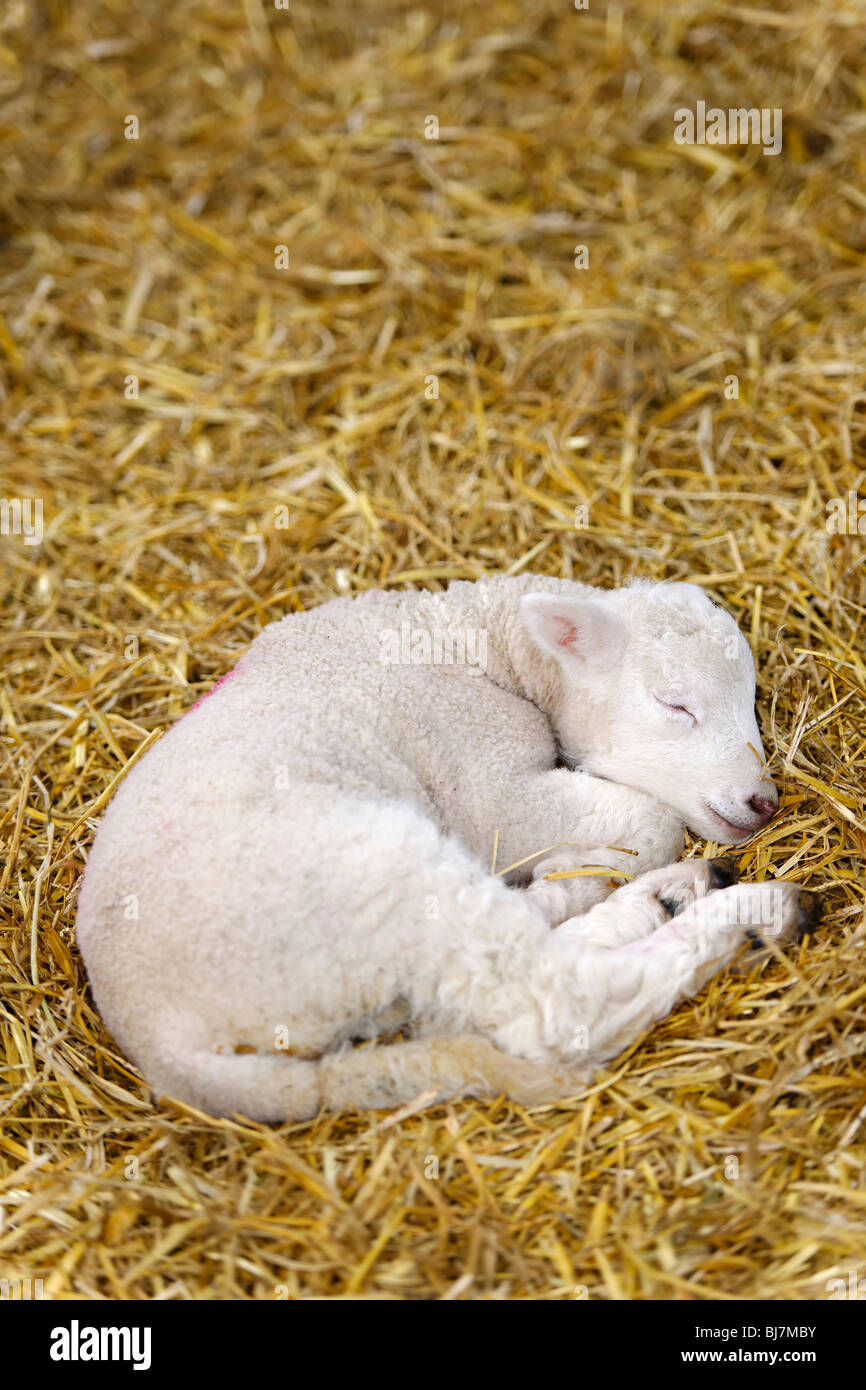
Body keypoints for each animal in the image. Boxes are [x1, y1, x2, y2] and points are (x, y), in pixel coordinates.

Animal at [75, 575, 821, 1121]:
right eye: (674, 705)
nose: (762, 802)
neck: (480, 646)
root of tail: (167, 1046)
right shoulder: (487, 786)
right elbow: (650, 821)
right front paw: (585, 869)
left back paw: (665, 896)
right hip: (376, 879)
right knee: (555, 1004)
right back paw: (756, 913)